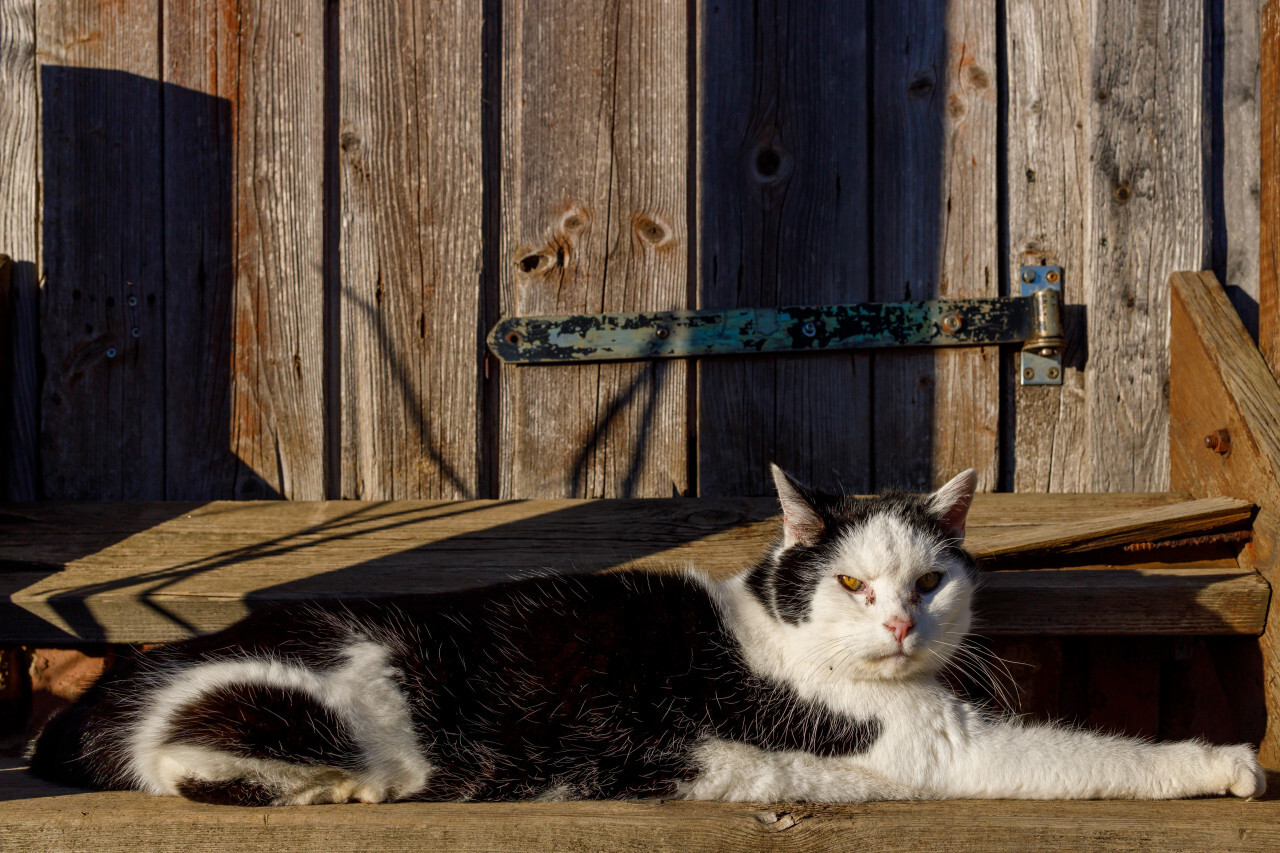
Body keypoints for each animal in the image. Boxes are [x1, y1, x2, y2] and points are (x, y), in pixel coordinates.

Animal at [27, 468, 1259, 799]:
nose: (904, 621)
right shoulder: (936, 747)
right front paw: (1221, 762)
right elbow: (1086, 754)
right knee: (188, 757)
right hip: (330, 701)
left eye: (928, 581)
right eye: (851, 582)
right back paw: (342, 790)